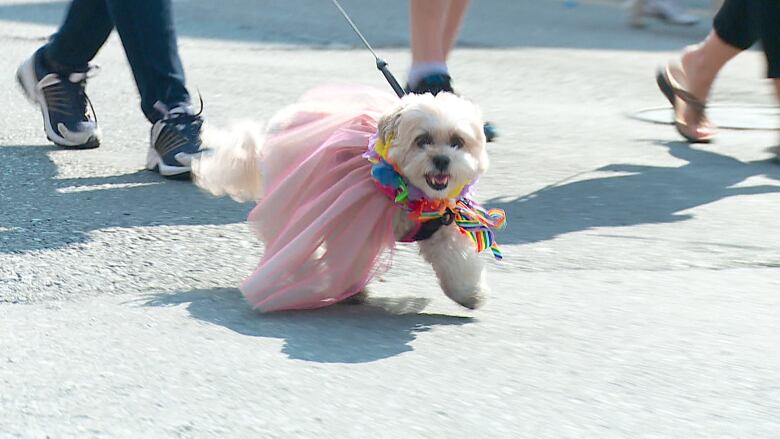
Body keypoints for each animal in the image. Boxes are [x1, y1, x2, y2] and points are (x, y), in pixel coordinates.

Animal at [195, 90, 500, 310]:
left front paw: (470, 293)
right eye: (422, 140)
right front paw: (349, 290)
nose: (441, 160)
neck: (407, 188)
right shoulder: (356, 220)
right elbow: (351, 255)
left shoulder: (443, 228)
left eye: (457, 141)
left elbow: (457, 261)